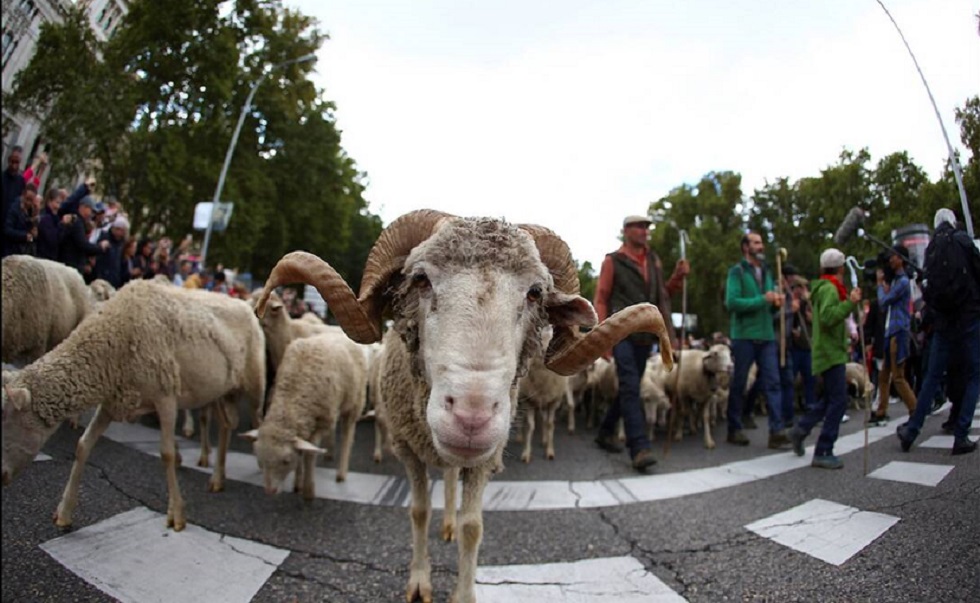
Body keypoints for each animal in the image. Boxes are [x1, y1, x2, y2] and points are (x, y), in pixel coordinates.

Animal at [0, 280, 266, 532]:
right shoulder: (113, 402)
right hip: (223, 390)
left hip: (254, 383)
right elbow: (83, 445)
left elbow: (166, 454)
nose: (1, 477)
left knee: (257, 420)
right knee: (226, 425)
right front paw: (64, 512)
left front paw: (176, 514)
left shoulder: (166, 396)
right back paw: (218, 478)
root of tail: (245, 304)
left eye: (7, 424)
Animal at [240, 328, 368, 498]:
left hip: (354, 403)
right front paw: (297, 484)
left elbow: (309, 455)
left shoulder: (321, 422)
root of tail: (339, 332)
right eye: (259, 460)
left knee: (347, 435)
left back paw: (341, 473)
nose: (269, 491)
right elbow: (302, 451)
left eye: (286, 461)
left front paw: (308, 490)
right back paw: (329, 452)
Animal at [253, 210, 672, 600]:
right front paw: (419, 582)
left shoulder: (485, 460)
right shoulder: (408, 449)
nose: (472, 417)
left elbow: (474, 527)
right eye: (420, 279)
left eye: (536, 293)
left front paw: (464, 588)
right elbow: (419, 512)